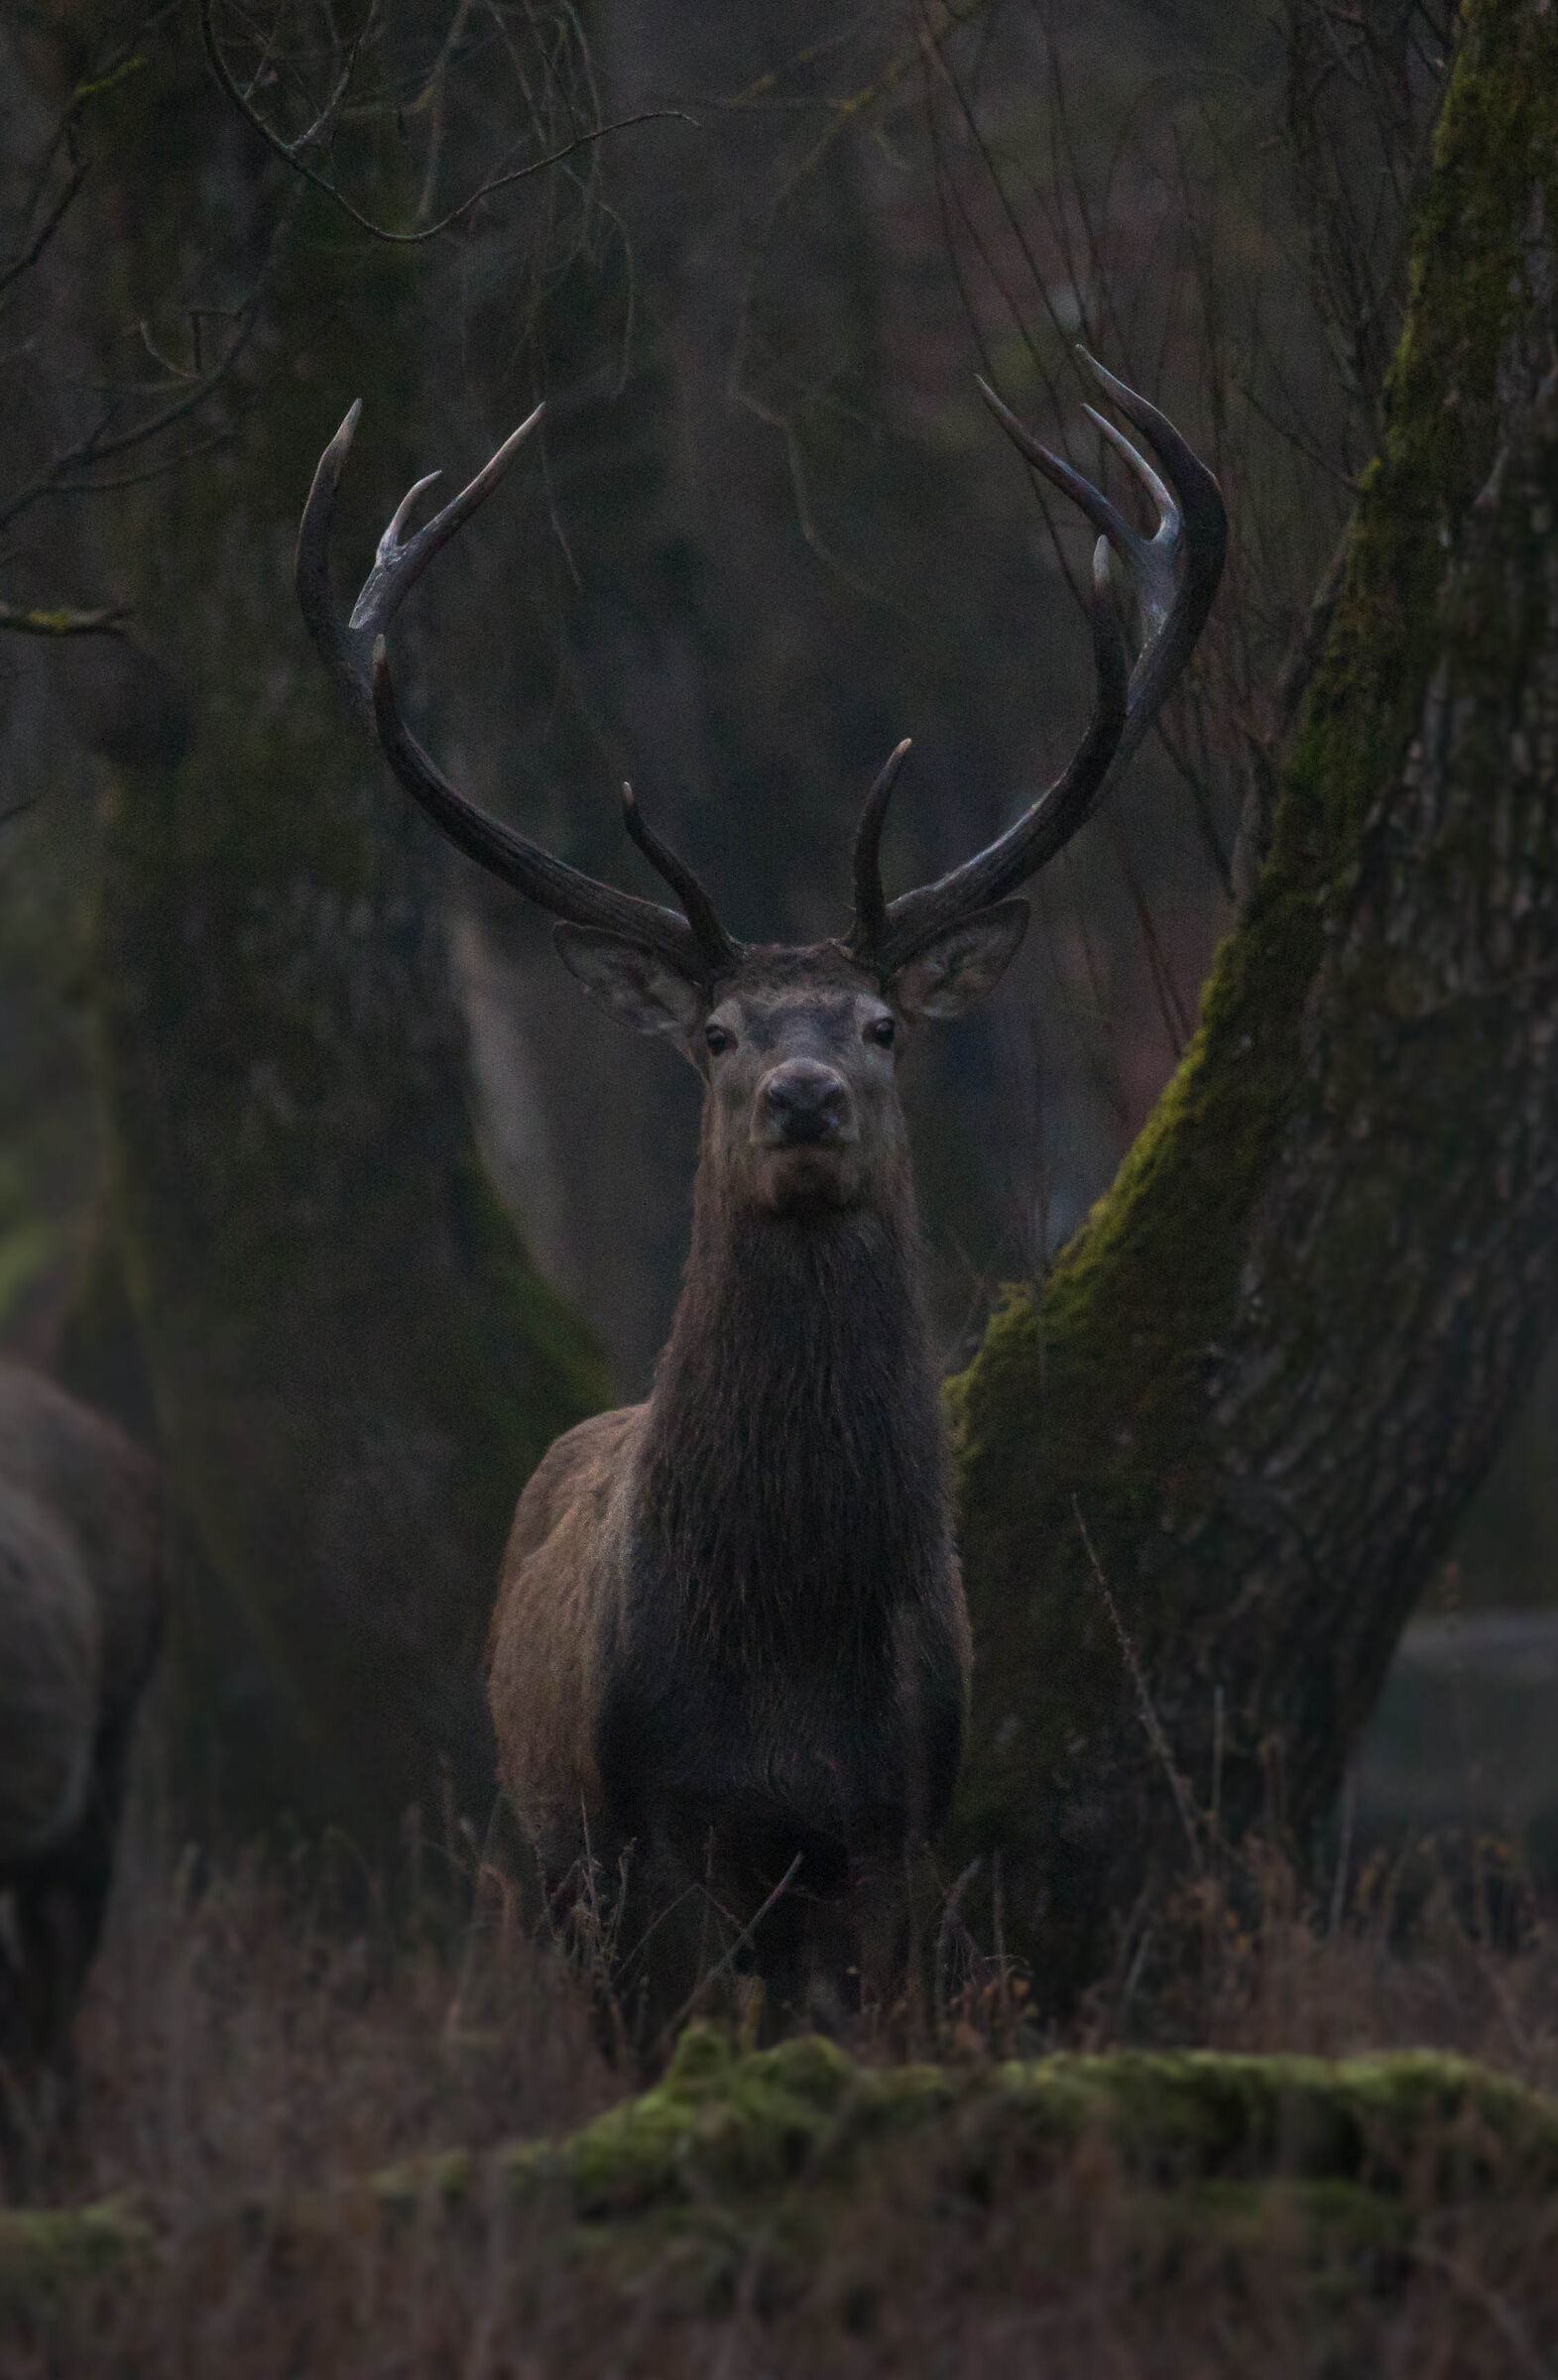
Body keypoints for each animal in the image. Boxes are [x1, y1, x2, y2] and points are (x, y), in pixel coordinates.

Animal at [297, 355, 1225, 2036]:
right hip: (553, 1865)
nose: (802, 1096)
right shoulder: (655, 1826)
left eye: (880, 1024)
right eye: (719, 1034)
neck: (784, 1661)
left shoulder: (896, 1826)